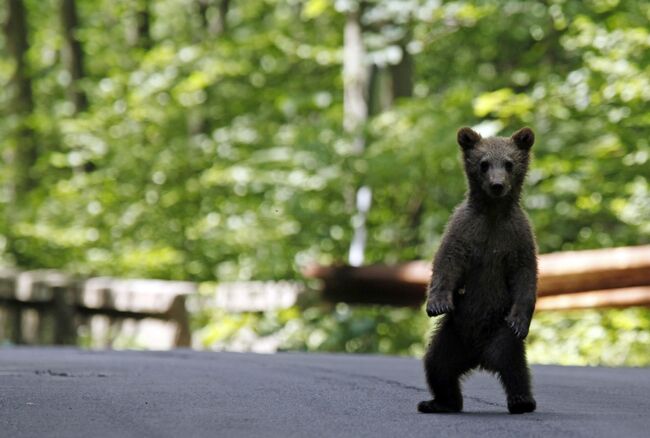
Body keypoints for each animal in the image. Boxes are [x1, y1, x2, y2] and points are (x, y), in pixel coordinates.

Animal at [418, 126, 540, 414]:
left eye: (509, 163)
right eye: (483, 163)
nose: (497, 185)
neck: (493, 213)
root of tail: (478, 357)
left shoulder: (517, 236)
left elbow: (525, 275)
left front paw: (521, 319)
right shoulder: (464, 229)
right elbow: (447, 262)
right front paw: (437, 303)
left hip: (499, 331)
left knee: (513, 365)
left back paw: (522, 401)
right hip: (452, 334)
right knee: (437, 365)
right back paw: (439, 402)